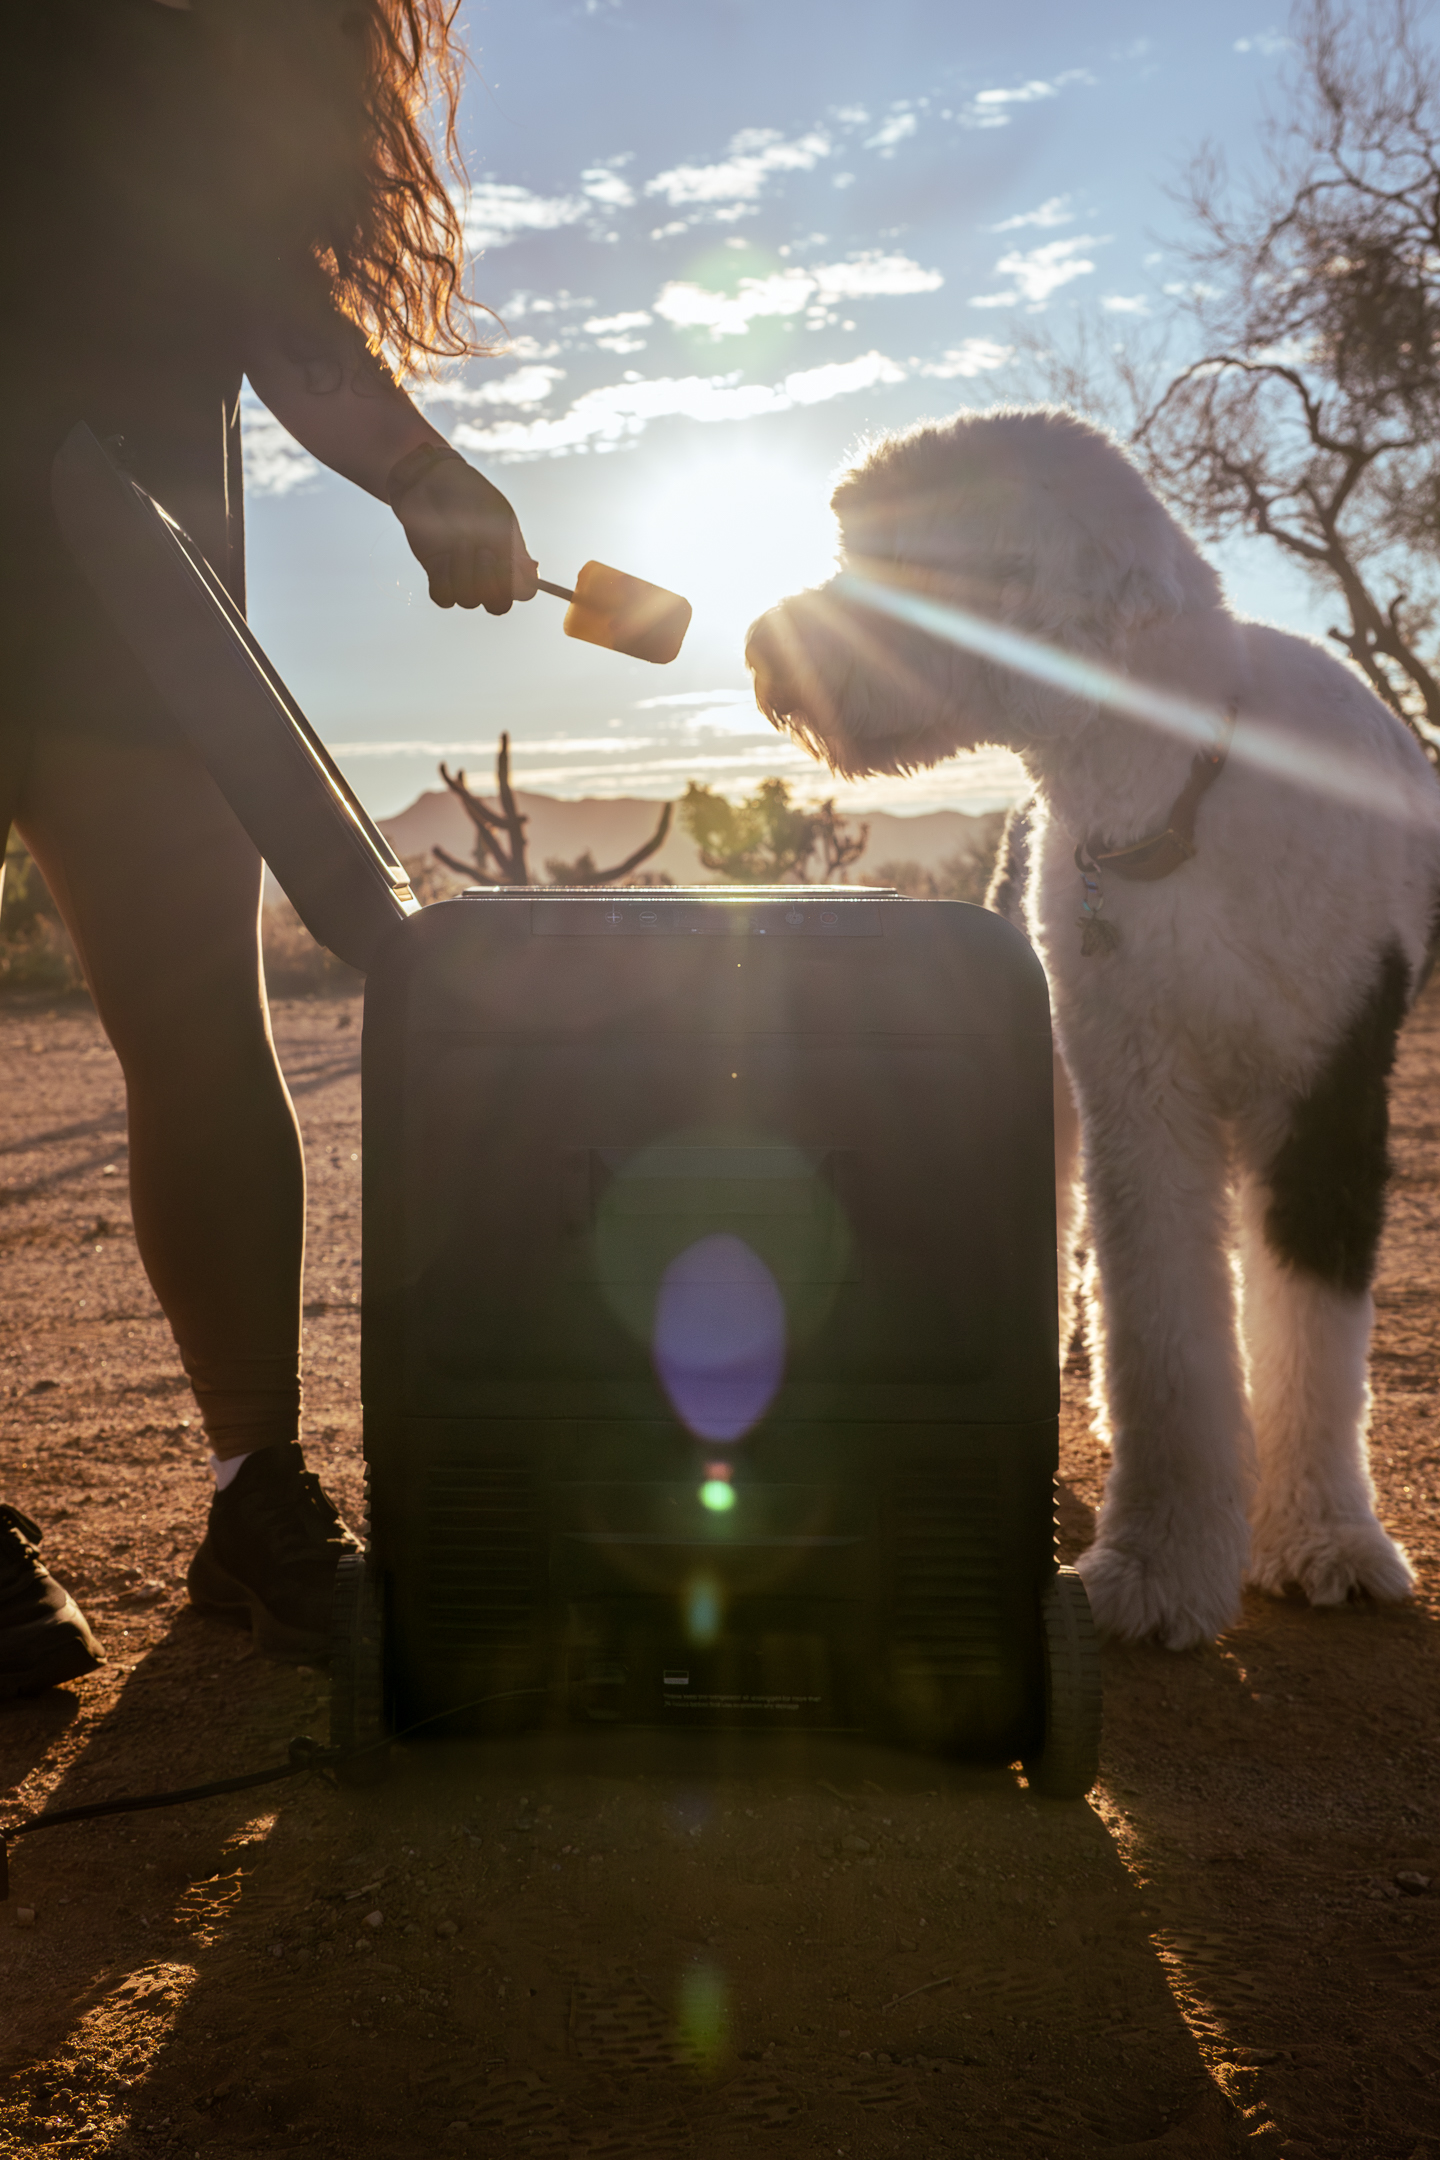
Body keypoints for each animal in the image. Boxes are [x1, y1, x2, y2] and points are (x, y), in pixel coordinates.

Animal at [751, 408, 1433, 1650]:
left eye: (909, 557)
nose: (761, 651)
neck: (1179, 798)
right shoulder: (1135, 1085)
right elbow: (1158, 1328)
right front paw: (1162, 1566)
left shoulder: (1327, 1089)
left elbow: (1312, 1339)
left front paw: (1325, 1541)